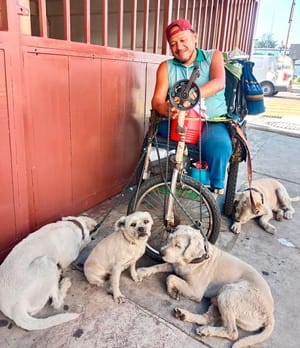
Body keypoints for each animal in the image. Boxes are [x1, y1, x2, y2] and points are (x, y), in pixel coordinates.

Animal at [136, 226, 274, 348]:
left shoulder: (195, 291)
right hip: (219, 299)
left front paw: (172, 291)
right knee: (208, 318)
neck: (195, 260)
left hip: (228, 293)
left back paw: (206, 329)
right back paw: (186, 316)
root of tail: (270, 315)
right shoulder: (175, 264)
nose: (160, 252)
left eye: (178, 245)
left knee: (232, 332)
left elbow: (170, 277)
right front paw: (143, 271)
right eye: (169, 239)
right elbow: (159, 266)